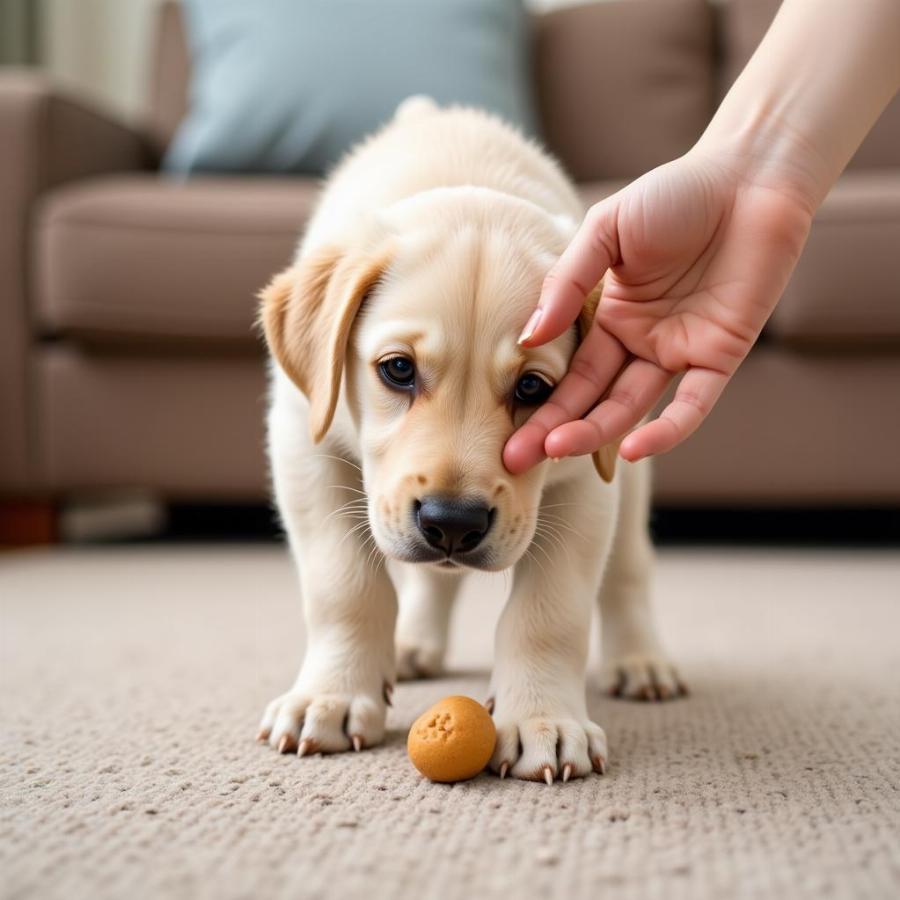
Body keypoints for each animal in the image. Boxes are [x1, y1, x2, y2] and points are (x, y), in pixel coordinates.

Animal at [256, 98, 680, 780]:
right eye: (397, 369)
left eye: (533, 388)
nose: (452, 524)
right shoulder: (303, 442)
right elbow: (343, 584)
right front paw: (332, 695)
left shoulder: (584, 476)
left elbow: (551, 611)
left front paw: (542, 719)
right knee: (431, 578)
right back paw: (410, 644)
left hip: (626, 462)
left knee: (630, 569)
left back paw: (641, 660)